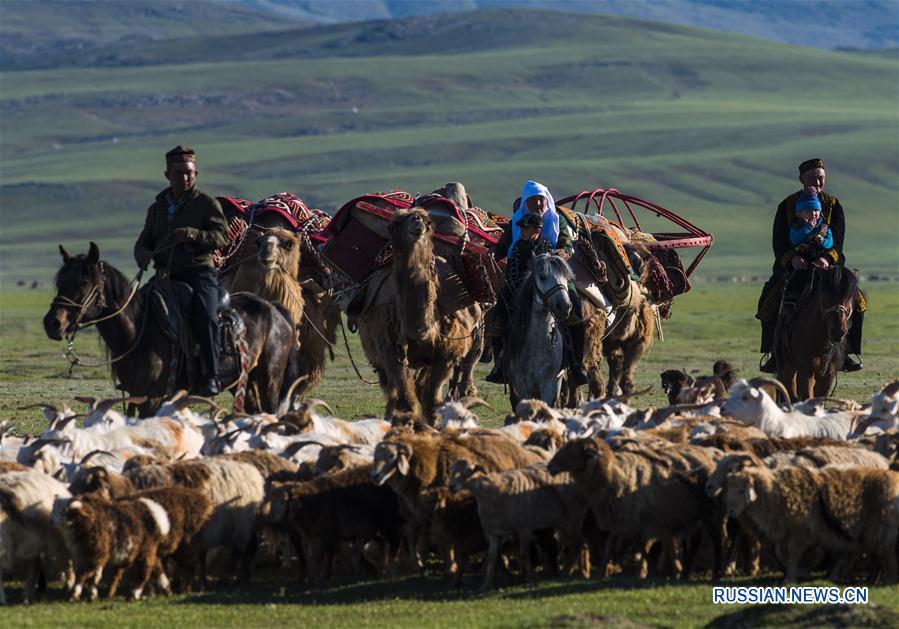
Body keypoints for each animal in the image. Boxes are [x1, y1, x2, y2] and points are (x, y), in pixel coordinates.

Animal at [44, 243, 298, 414]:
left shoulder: (153, 397)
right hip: (242, 380)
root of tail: (275, 310)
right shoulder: (135, 394)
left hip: (270, 378)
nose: (52, 323)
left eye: (83, 282)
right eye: (60, 282)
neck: (137, 331)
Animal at [772, 264, 856, 402]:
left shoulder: (827, 376)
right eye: (825, 295)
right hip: (787, 367)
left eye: (848, 296)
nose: (837, 332)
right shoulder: (805, 372)